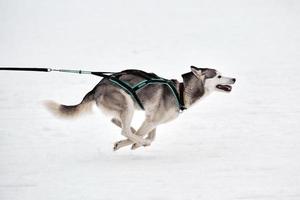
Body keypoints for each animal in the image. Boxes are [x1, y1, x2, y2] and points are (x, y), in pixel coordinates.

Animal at [45, 65, 236, 150]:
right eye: (219, 76)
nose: (234, 78)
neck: (182, 92)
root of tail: (96, 87)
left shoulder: (152, 119)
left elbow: (151, 135)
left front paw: (136, 143)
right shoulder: (152, 119)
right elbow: (144, 136)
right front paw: (135, 143)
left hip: (124, 107)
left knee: (118, 122)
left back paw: (132, 132)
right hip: (127, 102)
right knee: (124, 129)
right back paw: (134, 138)